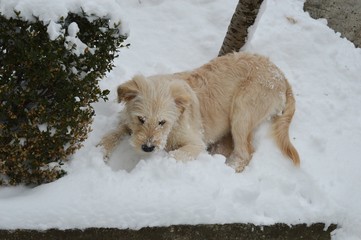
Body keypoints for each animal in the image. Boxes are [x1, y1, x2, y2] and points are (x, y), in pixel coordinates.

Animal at [98, 52, 298, 172]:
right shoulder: (127, 122)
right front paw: (99, 153)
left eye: (162, 122)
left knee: (244, 153)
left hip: (242, 111)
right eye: (141, 119)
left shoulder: (195, 143)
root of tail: (280, 74)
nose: (147, 148)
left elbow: (175, 155)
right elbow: (111, 135)